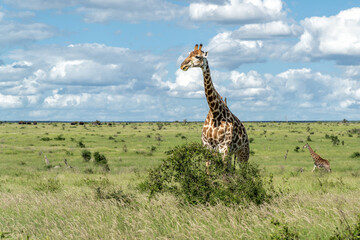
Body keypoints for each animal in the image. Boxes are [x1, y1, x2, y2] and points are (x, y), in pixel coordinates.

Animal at [180, 43, 250, 171]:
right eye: (189, 54)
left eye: (197, 56)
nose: (183, 65)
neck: (214, 111)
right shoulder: (207, 146)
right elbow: (209, 170)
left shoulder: (224, 147)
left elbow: (223, 171)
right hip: (233, 153)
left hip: (243, 152)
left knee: (244, 171)